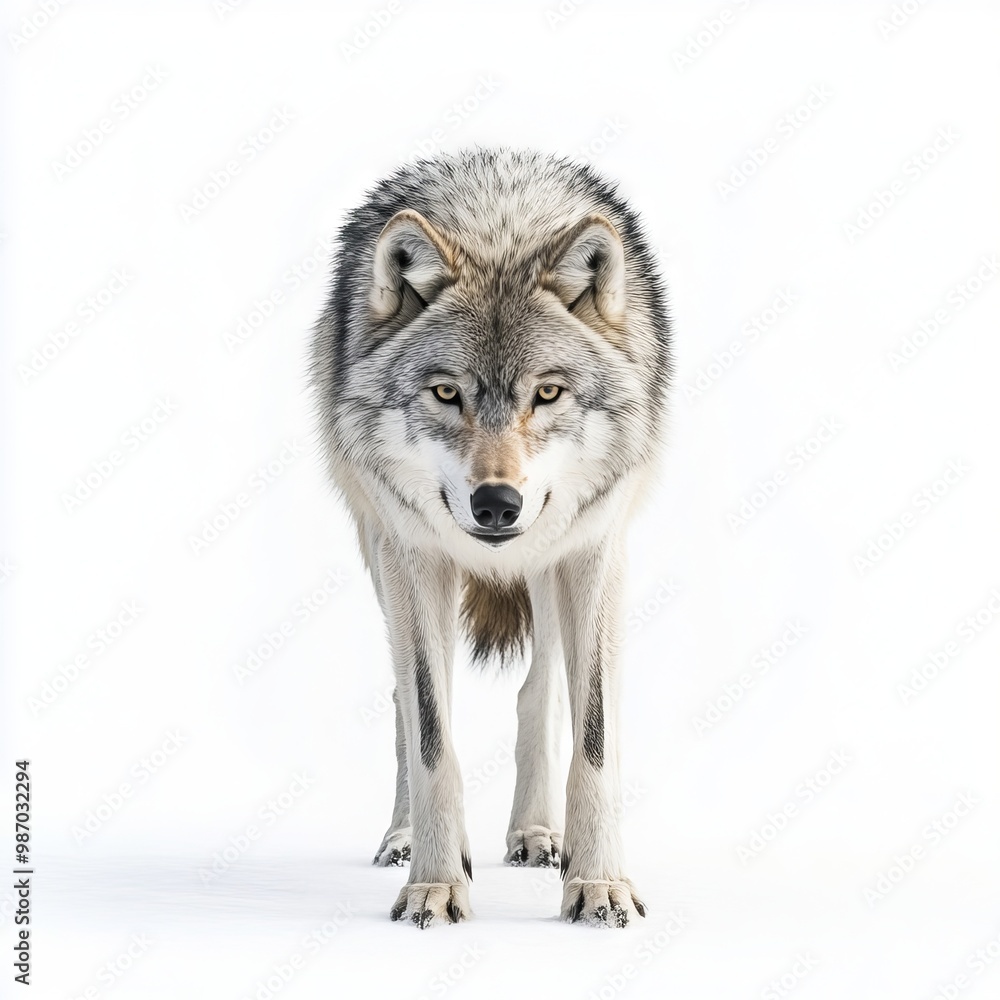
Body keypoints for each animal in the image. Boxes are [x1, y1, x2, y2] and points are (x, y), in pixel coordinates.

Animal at [310, 148, 671, 928]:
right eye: (448, 393)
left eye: (548, 392)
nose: (497, 503)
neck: (500, 225)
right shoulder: (415, 556)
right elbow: (430, 730)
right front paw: (435, 884)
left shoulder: (594, 550)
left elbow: (594, 735)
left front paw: (598, 882)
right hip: (385, 557)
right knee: (406, 700)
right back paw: (405, 838)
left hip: (551, 563)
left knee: (540, 692)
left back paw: (536, 835)